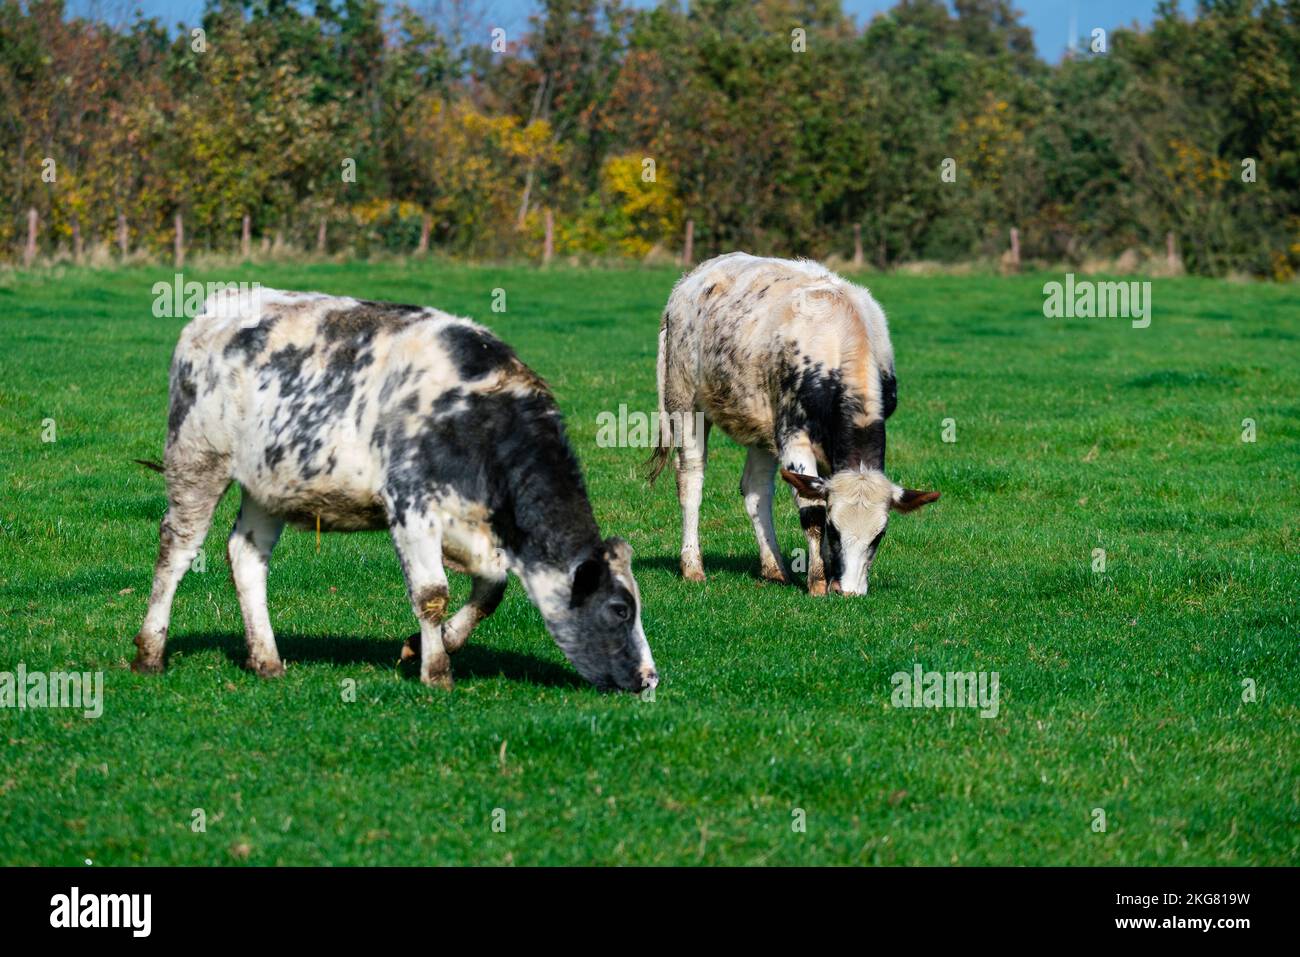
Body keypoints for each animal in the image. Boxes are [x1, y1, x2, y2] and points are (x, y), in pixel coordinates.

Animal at [132, 288, 658, 693]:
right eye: (620, 609)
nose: (650, 678)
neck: (476, 414)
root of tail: (219, 305)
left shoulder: (471, 526)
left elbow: (491, 590)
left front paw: (427, 644)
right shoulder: (411, 505)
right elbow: (432, 593)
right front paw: (437, 671)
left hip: (269, 483)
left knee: (246, 555)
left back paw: (267, 659)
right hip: (197, 459)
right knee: (177, 549)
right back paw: (150, 652)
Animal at [648, 252, 939, 596]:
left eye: (878, 536)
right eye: (835, 530)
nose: (849, 592)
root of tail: (691, 279)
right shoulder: (793, 437)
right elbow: (812, 509)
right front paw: (818, 581)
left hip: (762, 423)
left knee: (756, 489)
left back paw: (774, 568)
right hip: (685, 404)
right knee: (691, 480)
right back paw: (693, 566)